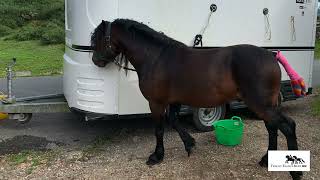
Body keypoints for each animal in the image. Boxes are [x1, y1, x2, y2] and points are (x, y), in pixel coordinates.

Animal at [90, 19, 302, 179]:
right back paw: (266, 160)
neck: (156, 57)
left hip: (261, 105)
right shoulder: (174, 101)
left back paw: (295, 172)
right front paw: (189, 143)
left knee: (287, 126)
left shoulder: (156, 103)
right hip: (266, 105)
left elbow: (159, 129)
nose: (96, 61)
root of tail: (271, 56)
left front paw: (157, 156)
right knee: (272, 129)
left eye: (98, 38)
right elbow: (173, 121)